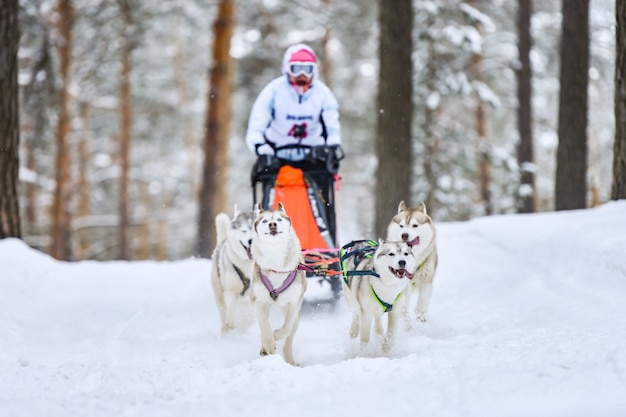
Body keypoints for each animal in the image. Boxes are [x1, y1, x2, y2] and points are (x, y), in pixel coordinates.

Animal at [250, 202, 306, 364]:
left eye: (279, 219)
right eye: (264, 221)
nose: (272, 224)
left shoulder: (294, 302)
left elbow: (286, 327)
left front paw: (276, 335)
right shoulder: (257, 301)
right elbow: (264, 325)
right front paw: (269, 343)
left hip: (295, 315)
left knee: (289, 337)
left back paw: (290, 361)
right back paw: (265, 347)